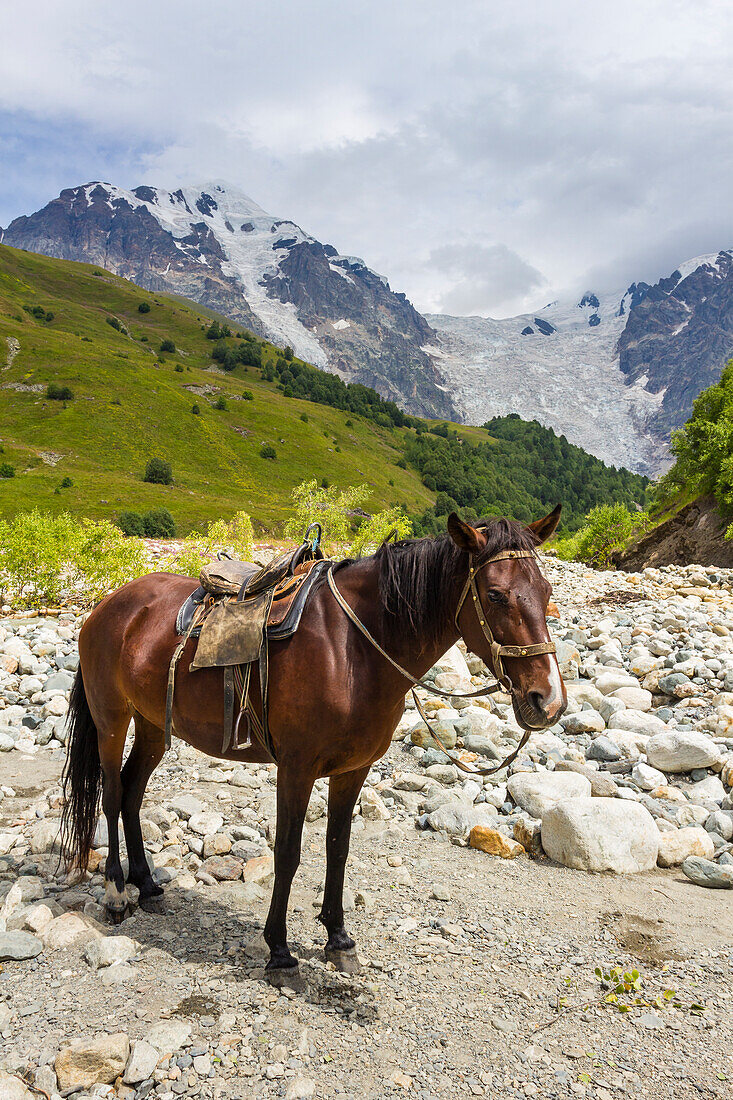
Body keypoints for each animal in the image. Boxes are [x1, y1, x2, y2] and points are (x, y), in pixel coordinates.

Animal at [61, 506, 563, 981]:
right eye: (495, 594)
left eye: (545, 592)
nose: (548, 699)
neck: (353, 649)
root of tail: (109, 606)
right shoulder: (296, 768)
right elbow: (288, 852)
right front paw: (280, 952)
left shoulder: (353, 769)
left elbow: (337, 848)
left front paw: (339, 939)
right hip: (112, 720)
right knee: (111, 794)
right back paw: (116, 894)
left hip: (151, 726)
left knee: (131, 792)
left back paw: (146, 886)